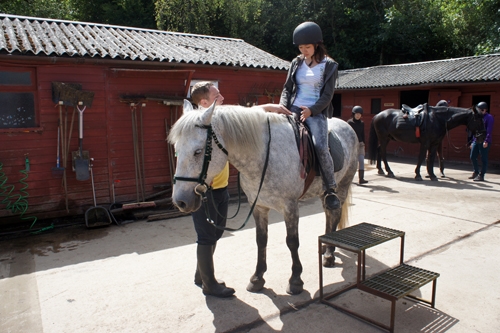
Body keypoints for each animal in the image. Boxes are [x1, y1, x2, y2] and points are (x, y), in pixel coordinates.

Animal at [170, 100, 358, 294]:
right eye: (176, 150)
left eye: (198, 151)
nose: (181, 201)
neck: (264, 156)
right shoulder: (259, 206)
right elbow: (261, 241)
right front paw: (257, 278)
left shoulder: (290, 207)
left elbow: (292, 241)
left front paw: (296, 280)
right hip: (323, 192)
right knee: (329, 215)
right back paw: (327, 249)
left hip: (342, 186)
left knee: (334, 214)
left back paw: (329, 254)